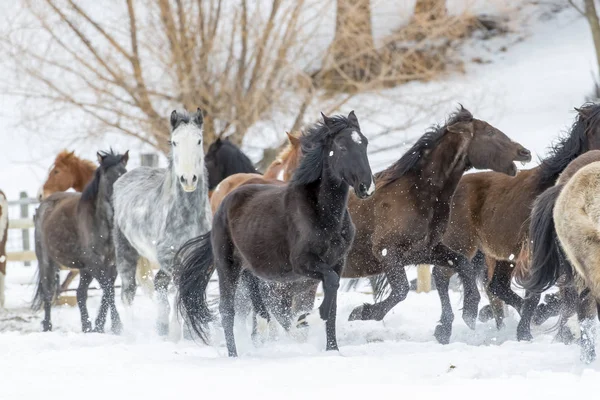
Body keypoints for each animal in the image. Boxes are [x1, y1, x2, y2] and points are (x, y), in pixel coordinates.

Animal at [32, 149, 129, 332]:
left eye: (124, 174)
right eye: (107, 177)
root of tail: (43, 206)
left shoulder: (110, 265)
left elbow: (107, 291)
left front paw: (101, 326)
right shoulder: (94, 264)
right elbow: (108, 290)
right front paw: (117, 325)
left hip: (83, 269)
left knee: (80, 293)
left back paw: (87, 327)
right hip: (47, 262)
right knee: (48, 293)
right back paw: (47, 326)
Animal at [113, 108, 212, 336]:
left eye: (199, 140)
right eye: (174, 142)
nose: (188, 179)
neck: (188, 217)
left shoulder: (200, 261)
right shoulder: (169, 259)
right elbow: (178, 291)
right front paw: (177, 334)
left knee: (157, 286)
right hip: (125, 254)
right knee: (128, 294)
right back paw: (132, 336)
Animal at [173, 111, 378, 356]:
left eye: (364, 143)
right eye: (341, 147)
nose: (366, 187)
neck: (322, 214)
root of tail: (225, 202)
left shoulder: (337, 262)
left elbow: (333, 299)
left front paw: (333, 350)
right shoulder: (302, 264)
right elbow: (327, 285)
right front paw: (314, 317)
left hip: (249, 268)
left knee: (255, 303)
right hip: (226, 266)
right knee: (227, 311)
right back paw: (234, 355)